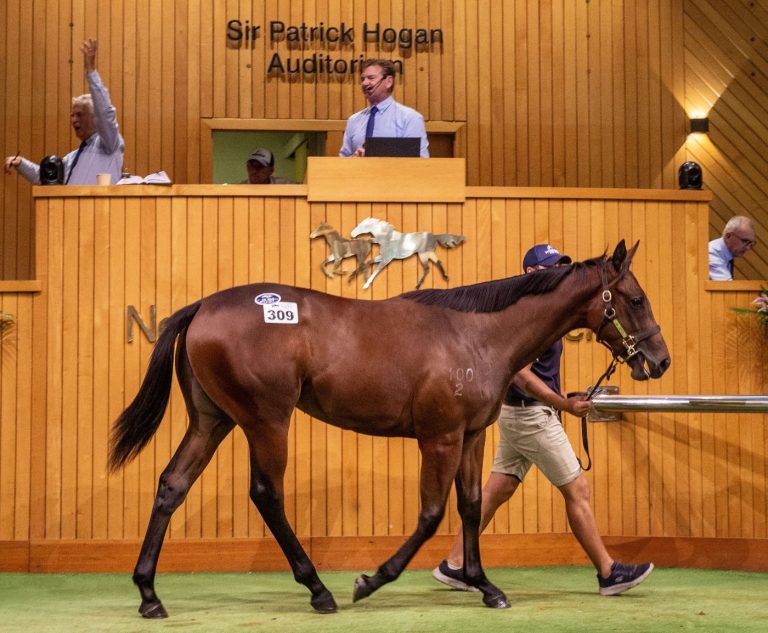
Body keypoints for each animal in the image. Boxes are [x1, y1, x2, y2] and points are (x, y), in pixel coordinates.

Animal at [109, 240, 669, 618]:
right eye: (636, 298)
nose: (660, 361)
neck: (477, 335)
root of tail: (201, 307)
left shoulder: (471, 437)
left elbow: (471, 508)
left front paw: (484, 585)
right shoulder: (439, 438)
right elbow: (431, 514)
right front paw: (372, 580)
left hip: (213, 420)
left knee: (172, 485)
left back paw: (149, 593)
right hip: (267, 421)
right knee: (267, 494)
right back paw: (319, 590)